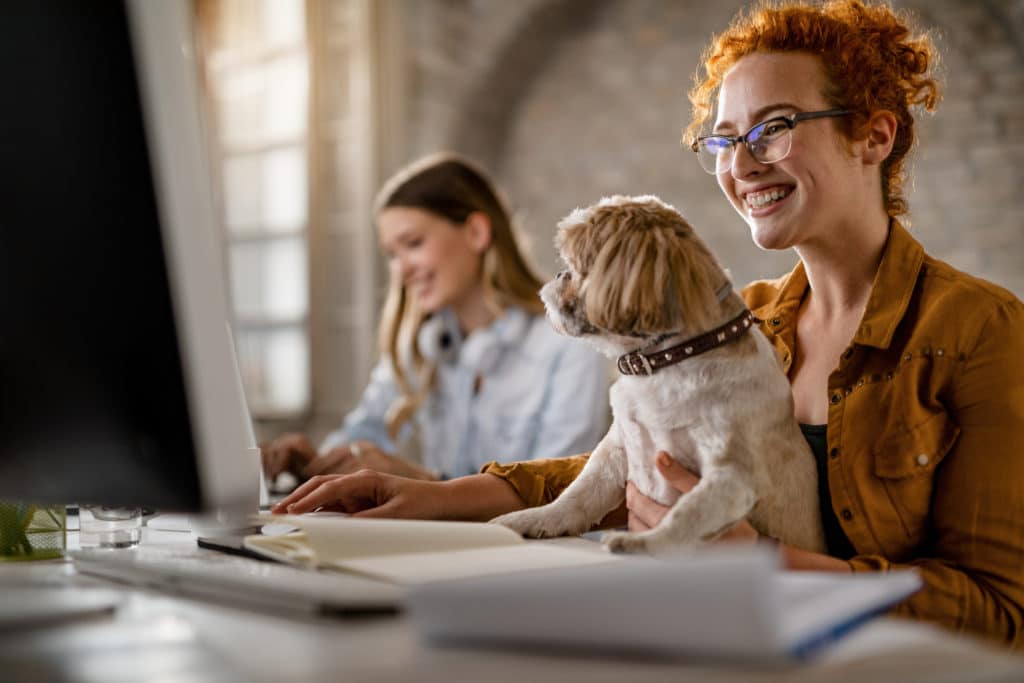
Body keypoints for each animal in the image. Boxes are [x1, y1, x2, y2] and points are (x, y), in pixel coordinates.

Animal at [491, 196, 827, 557]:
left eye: (579, 264)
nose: (558, 274)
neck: (670, 362)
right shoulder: (615, 450)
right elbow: (579, 494)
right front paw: (532, 519)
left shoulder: (732, 476)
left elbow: (685, 515)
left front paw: (643, 542)